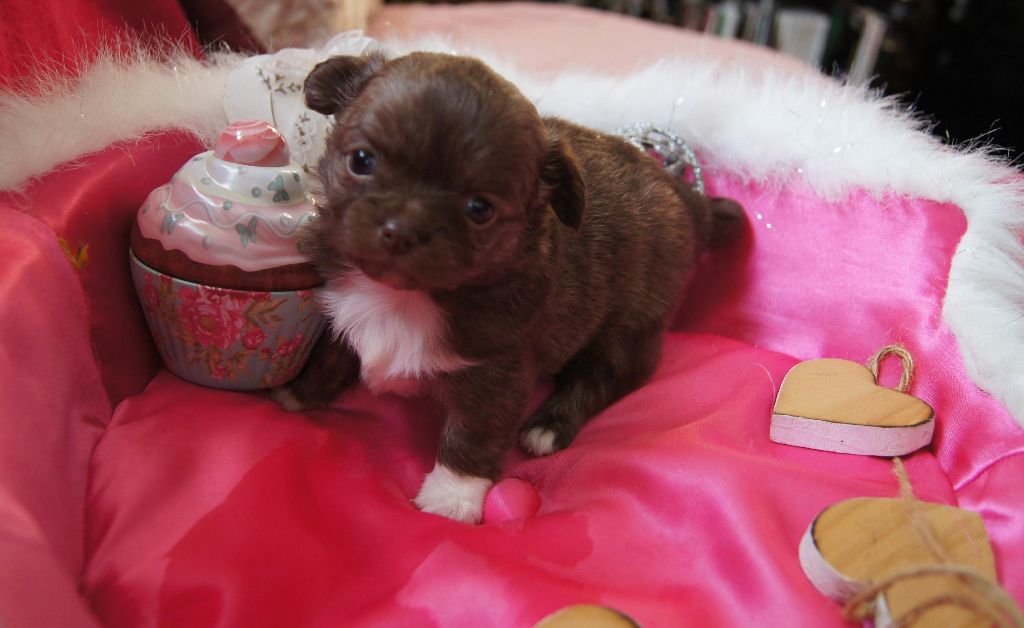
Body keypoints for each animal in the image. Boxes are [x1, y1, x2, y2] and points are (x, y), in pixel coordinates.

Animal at [272, 50, 745, 523]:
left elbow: (472, 431)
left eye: (480, 209)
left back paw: (549, 426)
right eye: (362, 160)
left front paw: (450, 498)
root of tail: (685, 195)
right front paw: (298, 393)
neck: (404, 296)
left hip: (629, 324)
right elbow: (330, 353)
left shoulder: (497, 370)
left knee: (609, 372)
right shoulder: (339, 306)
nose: (402, 230)